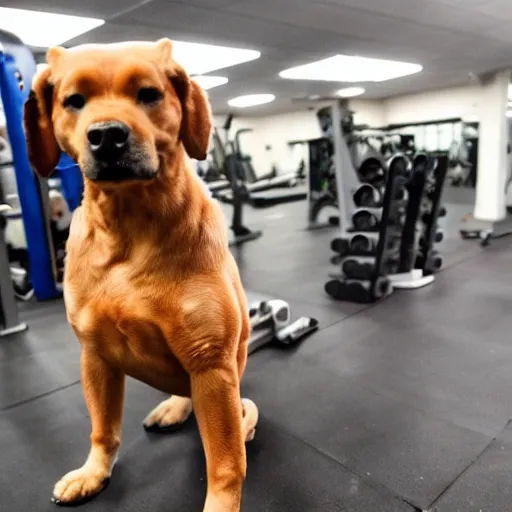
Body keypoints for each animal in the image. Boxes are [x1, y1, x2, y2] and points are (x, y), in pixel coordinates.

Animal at [22, 38, 258, 510]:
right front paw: (93, 472)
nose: (107, 135)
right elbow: (103, 428)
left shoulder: (211, 364)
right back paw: (174, 407)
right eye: (74, 100)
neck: (130, 231)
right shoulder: (95, 356)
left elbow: (226, 464)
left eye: (149, 94)